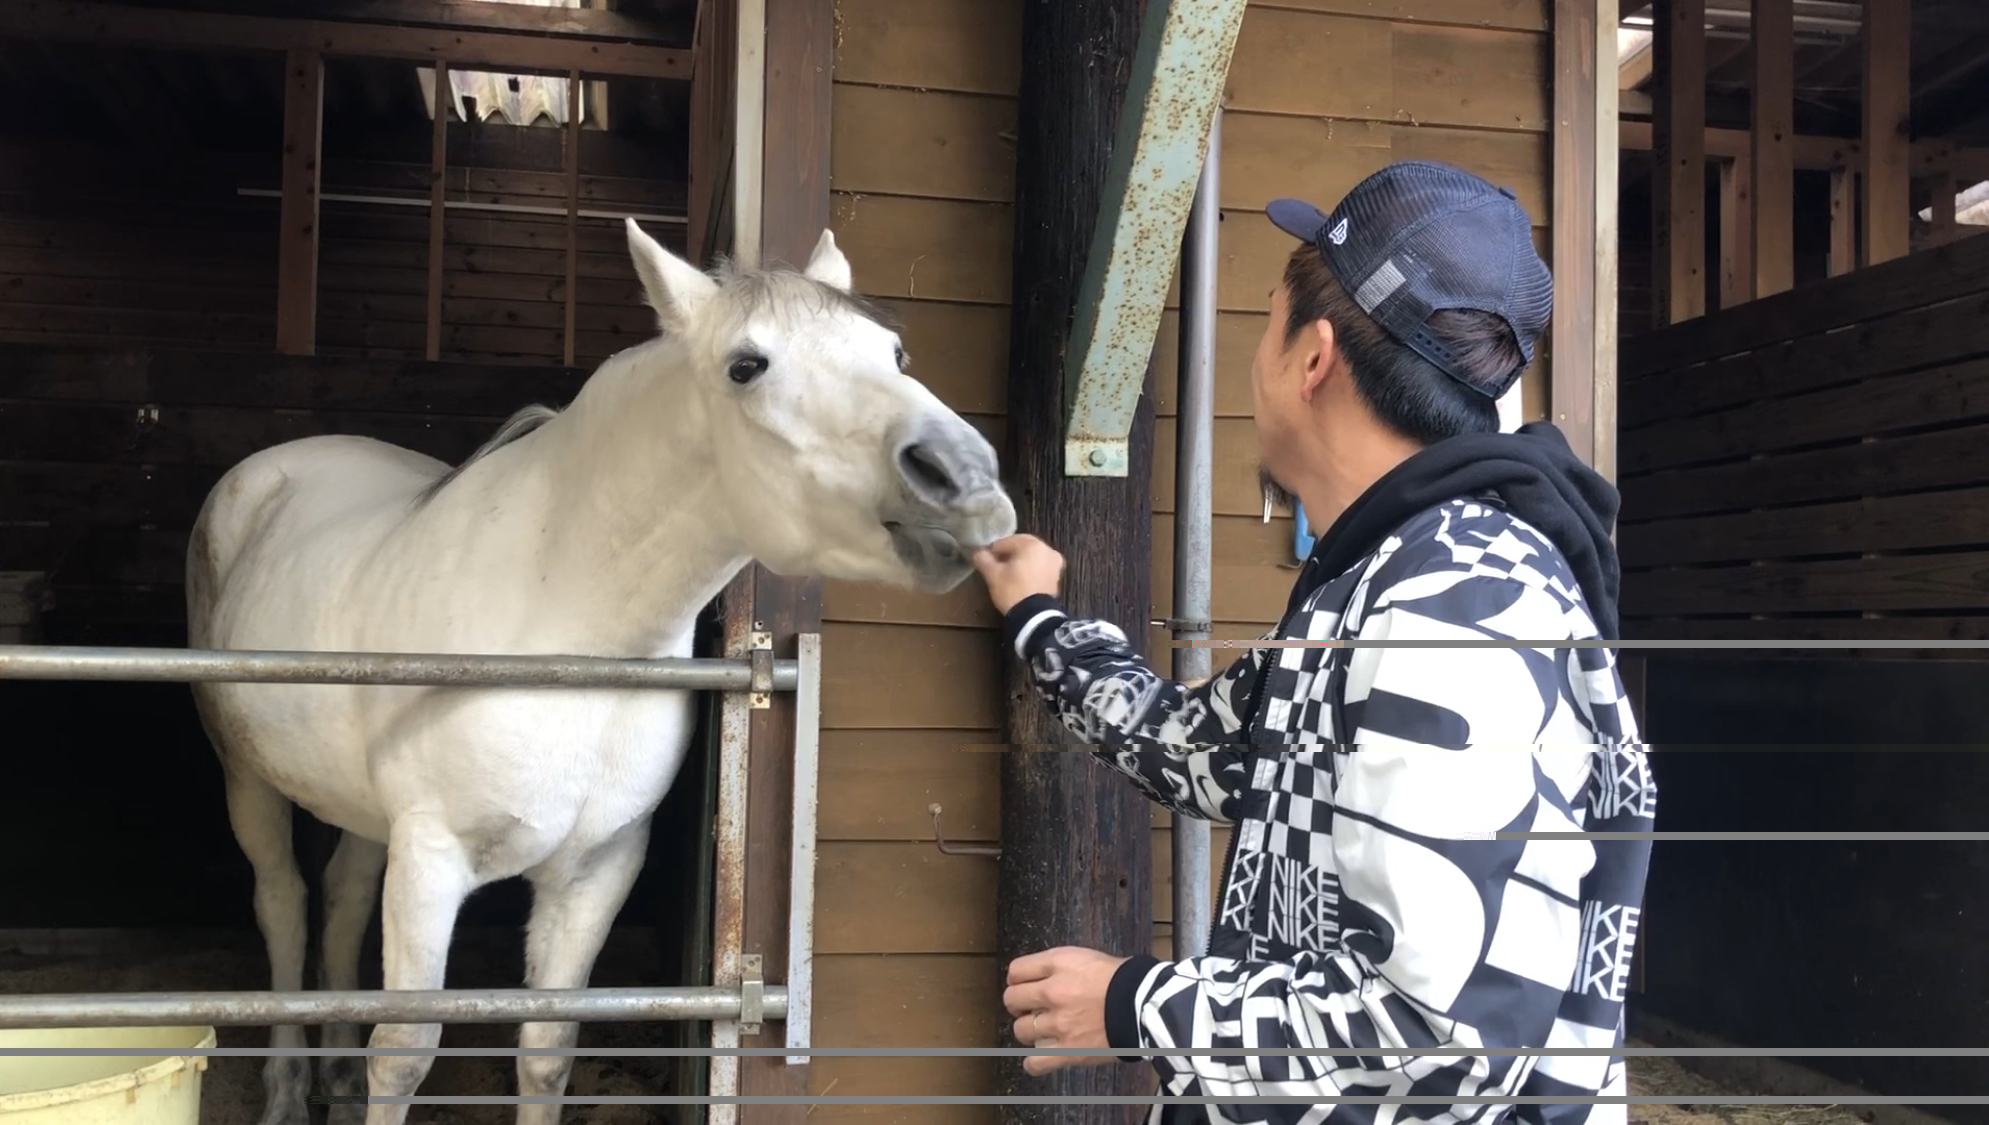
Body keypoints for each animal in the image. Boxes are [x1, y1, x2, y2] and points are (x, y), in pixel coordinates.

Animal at [186, 220, 1018, 1125]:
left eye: (894, 353)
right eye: (746, 366)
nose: (963, 478)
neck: (562, 628)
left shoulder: (596, 868)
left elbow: (547, 1052)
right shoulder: (432, 859)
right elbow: (403, 1054)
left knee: (338, 903)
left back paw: (331, 1077)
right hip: (245, 777)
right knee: (285, 907)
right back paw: (284, 1088)